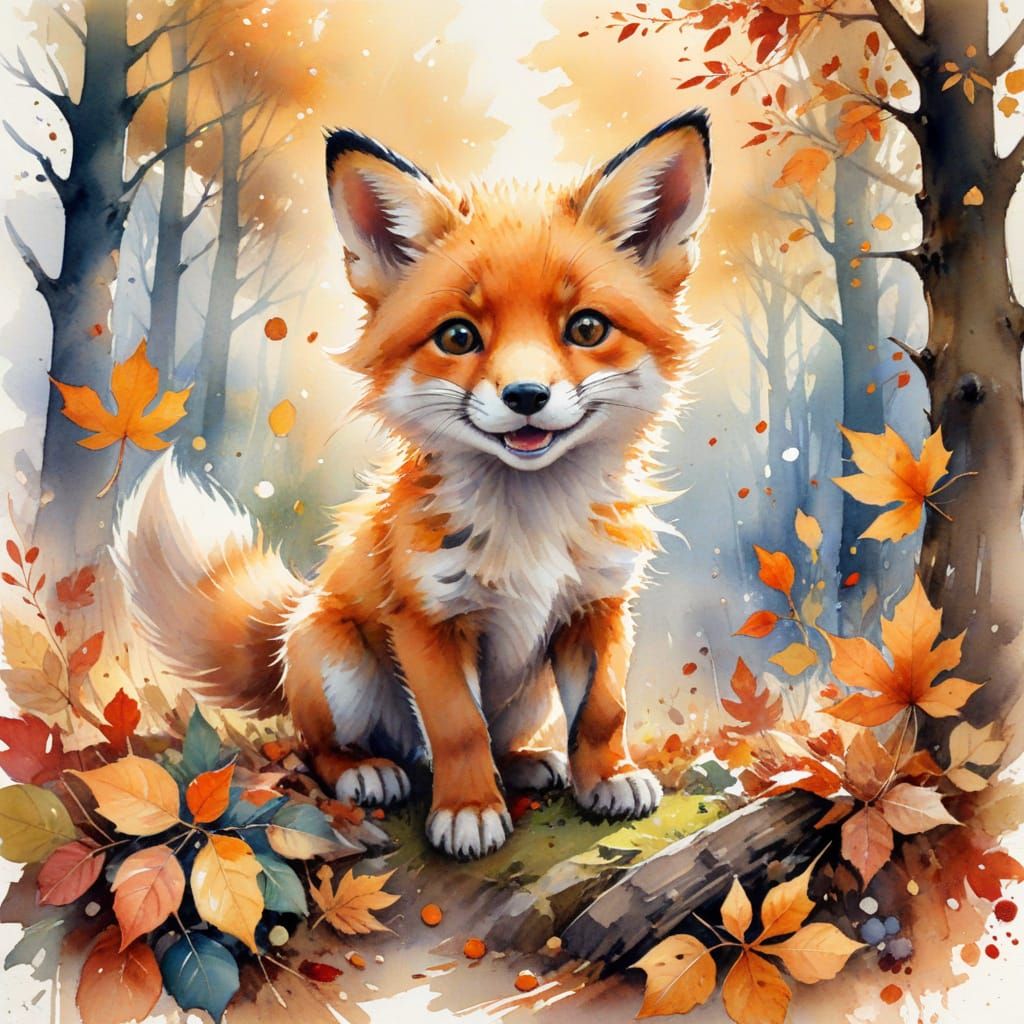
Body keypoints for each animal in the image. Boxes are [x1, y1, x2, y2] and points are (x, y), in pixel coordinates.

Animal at [113, 110, 713, 860]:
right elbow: (458, 728)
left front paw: (608, 778)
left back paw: (528, 764)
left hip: (531, 693)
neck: (530, 528)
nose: (526, 396)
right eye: (458, 336)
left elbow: (604, 712)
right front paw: (469, 810)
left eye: (586, 327)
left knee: (504, 738)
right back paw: (369, 771)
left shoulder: (597, 606)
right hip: (333, 659)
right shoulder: (428, 618)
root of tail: (289, 624)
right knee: (323, 748)